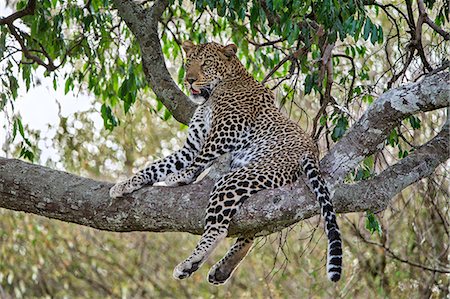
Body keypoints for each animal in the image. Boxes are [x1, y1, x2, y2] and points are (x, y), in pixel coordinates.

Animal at [110, 40, 342, 286]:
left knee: (219, 228)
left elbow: (201, 158)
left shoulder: (227, 130)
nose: (189, 80)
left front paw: (180, 177)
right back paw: (221, 269)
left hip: (238, 178)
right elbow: (157, 166)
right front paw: (125, 185)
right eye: (188, 63)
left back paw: (189, 263)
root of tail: (311, 150)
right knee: (257, 228)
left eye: (206, 63)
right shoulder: (191, 146)